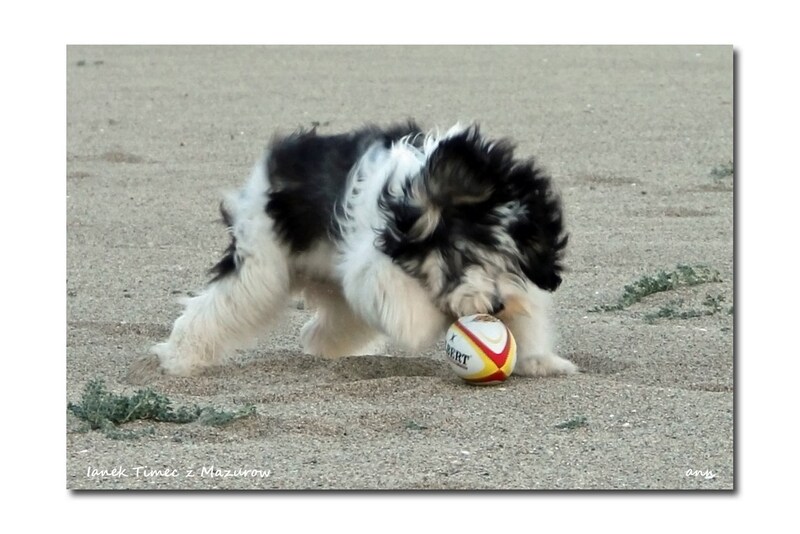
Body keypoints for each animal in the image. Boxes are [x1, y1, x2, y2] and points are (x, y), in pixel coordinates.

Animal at [145, 122, 576, 382]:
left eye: (515, 260)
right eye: (465, 254)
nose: (498, 306)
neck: (410, 205)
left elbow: (528, 312)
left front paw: (540, 360)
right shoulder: (373, 266)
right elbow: (405, 304)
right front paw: (429, 321)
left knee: (336, 323)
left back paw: (323, 343)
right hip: (260, 261)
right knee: (219, 305)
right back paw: (180, 355)